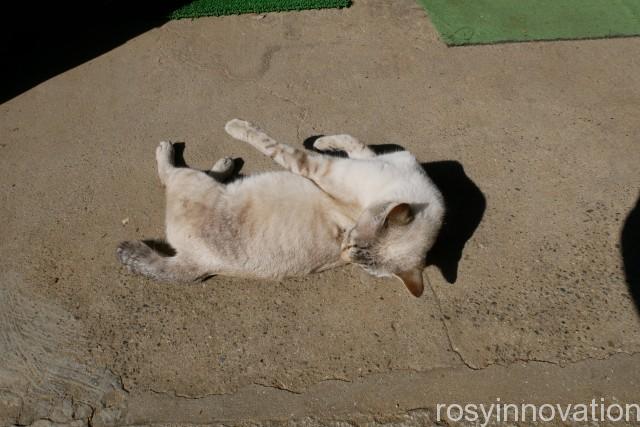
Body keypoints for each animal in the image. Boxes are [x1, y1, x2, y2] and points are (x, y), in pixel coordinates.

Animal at [116, 118, 444, 296]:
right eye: (350, 241)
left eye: (353, 250)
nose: (343, 252)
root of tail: (197, 263)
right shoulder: (366, 157)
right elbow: (349, 140)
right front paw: (322, 140)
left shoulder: (315, 166)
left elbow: (271, 144)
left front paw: (237, 127)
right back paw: (225, 164)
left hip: (190, 180)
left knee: (169, 173)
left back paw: (185, 155)